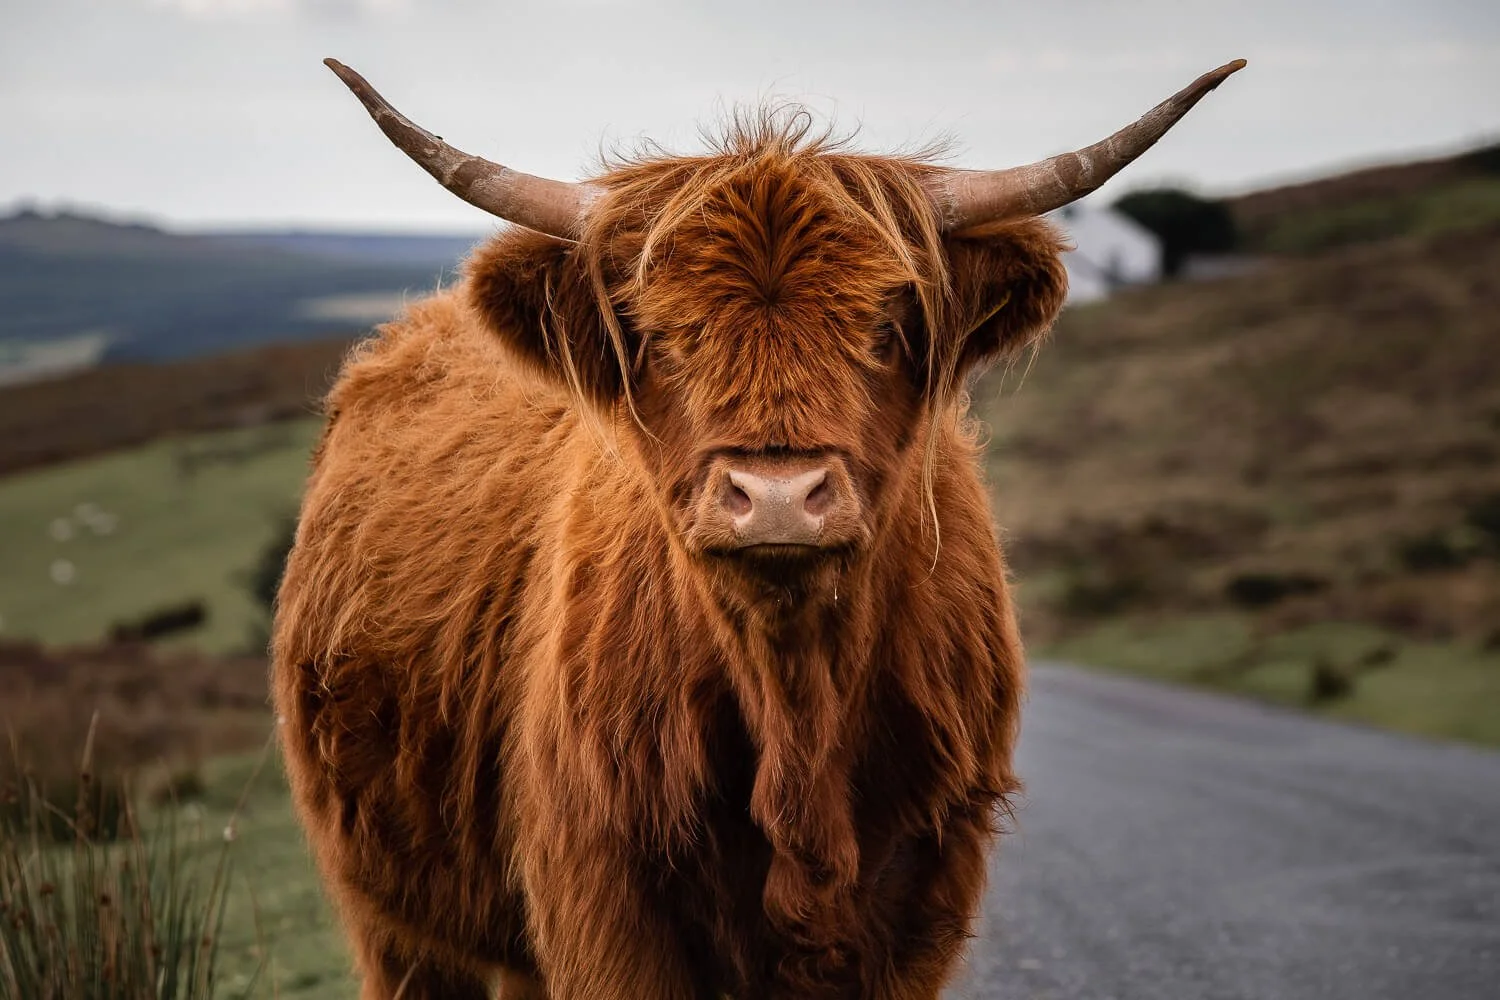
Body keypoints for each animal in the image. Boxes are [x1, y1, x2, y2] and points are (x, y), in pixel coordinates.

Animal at [272, 58, 1244, 1000]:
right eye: (662, 337)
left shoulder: (918, 900)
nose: (777, 496)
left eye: (885, 327)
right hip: (396, 920)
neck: (797, 710)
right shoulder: (606, 903)